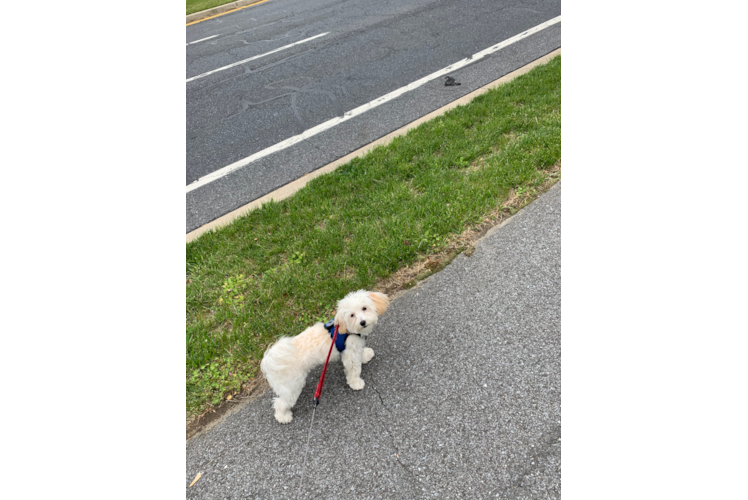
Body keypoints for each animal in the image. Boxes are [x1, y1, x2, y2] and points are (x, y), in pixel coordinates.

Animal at [260, 290, 392, 422]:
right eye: (352, 315)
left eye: (364, 308)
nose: (362, 322)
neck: (347, 330)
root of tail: (269, 360)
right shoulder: (350, 353)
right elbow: (353, 369)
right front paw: (356, 383)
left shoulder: (355, 348)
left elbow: (360, 354)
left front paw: (365, 355)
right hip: (292, 386)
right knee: (280, 402)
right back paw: (283, 417)